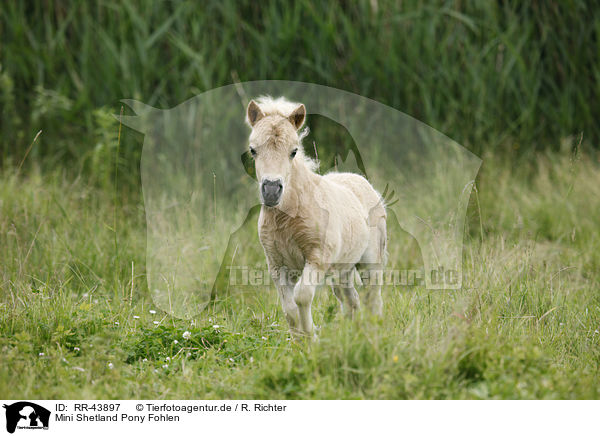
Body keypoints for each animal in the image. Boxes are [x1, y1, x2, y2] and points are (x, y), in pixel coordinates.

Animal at [245, 97, 390, 338]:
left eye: (293, 151)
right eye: (253, 150)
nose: (272, 191)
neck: (287, 218)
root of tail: (362, 182)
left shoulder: (317, 258)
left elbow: (302, 296)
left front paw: (312, 337)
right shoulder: (277, 266)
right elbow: (289, 309)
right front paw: (300, 341)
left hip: (371, 262)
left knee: (373, 299)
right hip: (342, 269)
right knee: (351, 300)